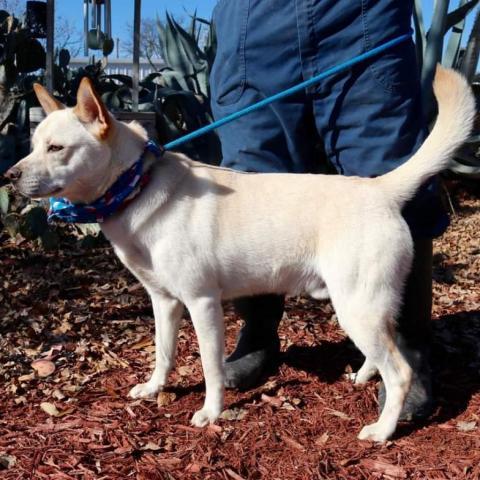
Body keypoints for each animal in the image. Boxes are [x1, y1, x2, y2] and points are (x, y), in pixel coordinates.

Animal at [7, 65, 476, 440]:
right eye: (32, 144)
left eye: (56, 148)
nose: (9, 176)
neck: (135, 186)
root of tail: (379, 188)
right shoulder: (164, 303)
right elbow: (164, 352)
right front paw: (156, 388)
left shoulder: (202, 303)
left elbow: (211, 367)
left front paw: (211, 413)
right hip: (366, 308)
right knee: (386, 351)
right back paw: (364, 375)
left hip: (357, 308)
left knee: (401, 372)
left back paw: (383, 430)